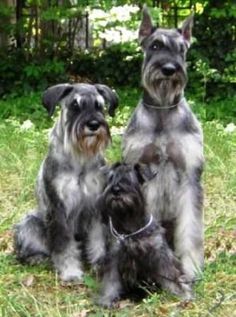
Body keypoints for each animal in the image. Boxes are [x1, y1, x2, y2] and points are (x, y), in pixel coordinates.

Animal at [13, 82, 118, 282]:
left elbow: (97, 239)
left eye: (100, 106)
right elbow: (64, 245)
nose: (94, 125)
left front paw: (100, 264)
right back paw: (36, 258)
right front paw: (70, 272)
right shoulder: (58, 209)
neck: (80, 158)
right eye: (75, 105)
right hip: (29, 222)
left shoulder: (96, 207)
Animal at [96, 162, 192, 304]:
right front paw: (106, 299)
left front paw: (181, 293)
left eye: (129, 178)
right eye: (111, 178)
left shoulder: (159, 254)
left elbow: (170, 274)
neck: (129, 225)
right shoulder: (114, 256)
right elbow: (111, 280)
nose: (116, 190)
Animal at [122, 6, 204, 280]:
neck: (162, 110)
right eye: (155, 45)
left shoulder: (190, 173)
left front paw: (191, 266)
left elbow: (191, 228)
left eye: (181, 49)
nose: (169, 69)